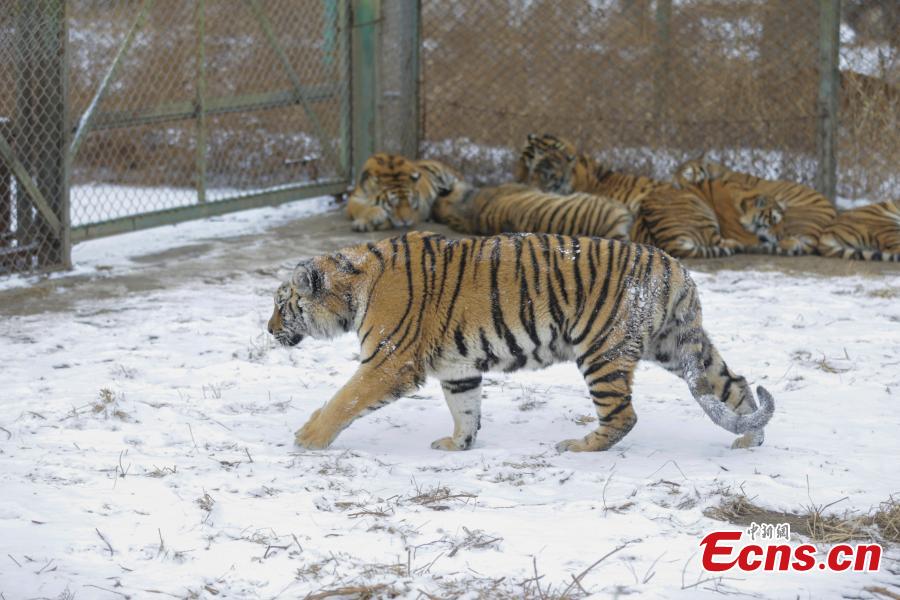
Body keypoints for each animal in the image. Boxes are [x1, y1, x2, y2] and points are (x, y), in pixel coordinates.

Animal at [267, 231, 775, 453]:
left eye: (281, 303)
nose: (269, 330)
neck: (353, 287)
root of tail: (674, 267)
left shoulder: (389, 360)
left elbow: (346, 399)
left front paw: (307, 438)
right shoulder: (457, 368)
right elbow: (465, 408)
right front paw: (458, 444)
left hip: (602, 351)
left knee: (623, 415)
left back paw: (578, 447)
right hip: (678, 344)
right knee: (734, 384)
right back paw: (749, 440)